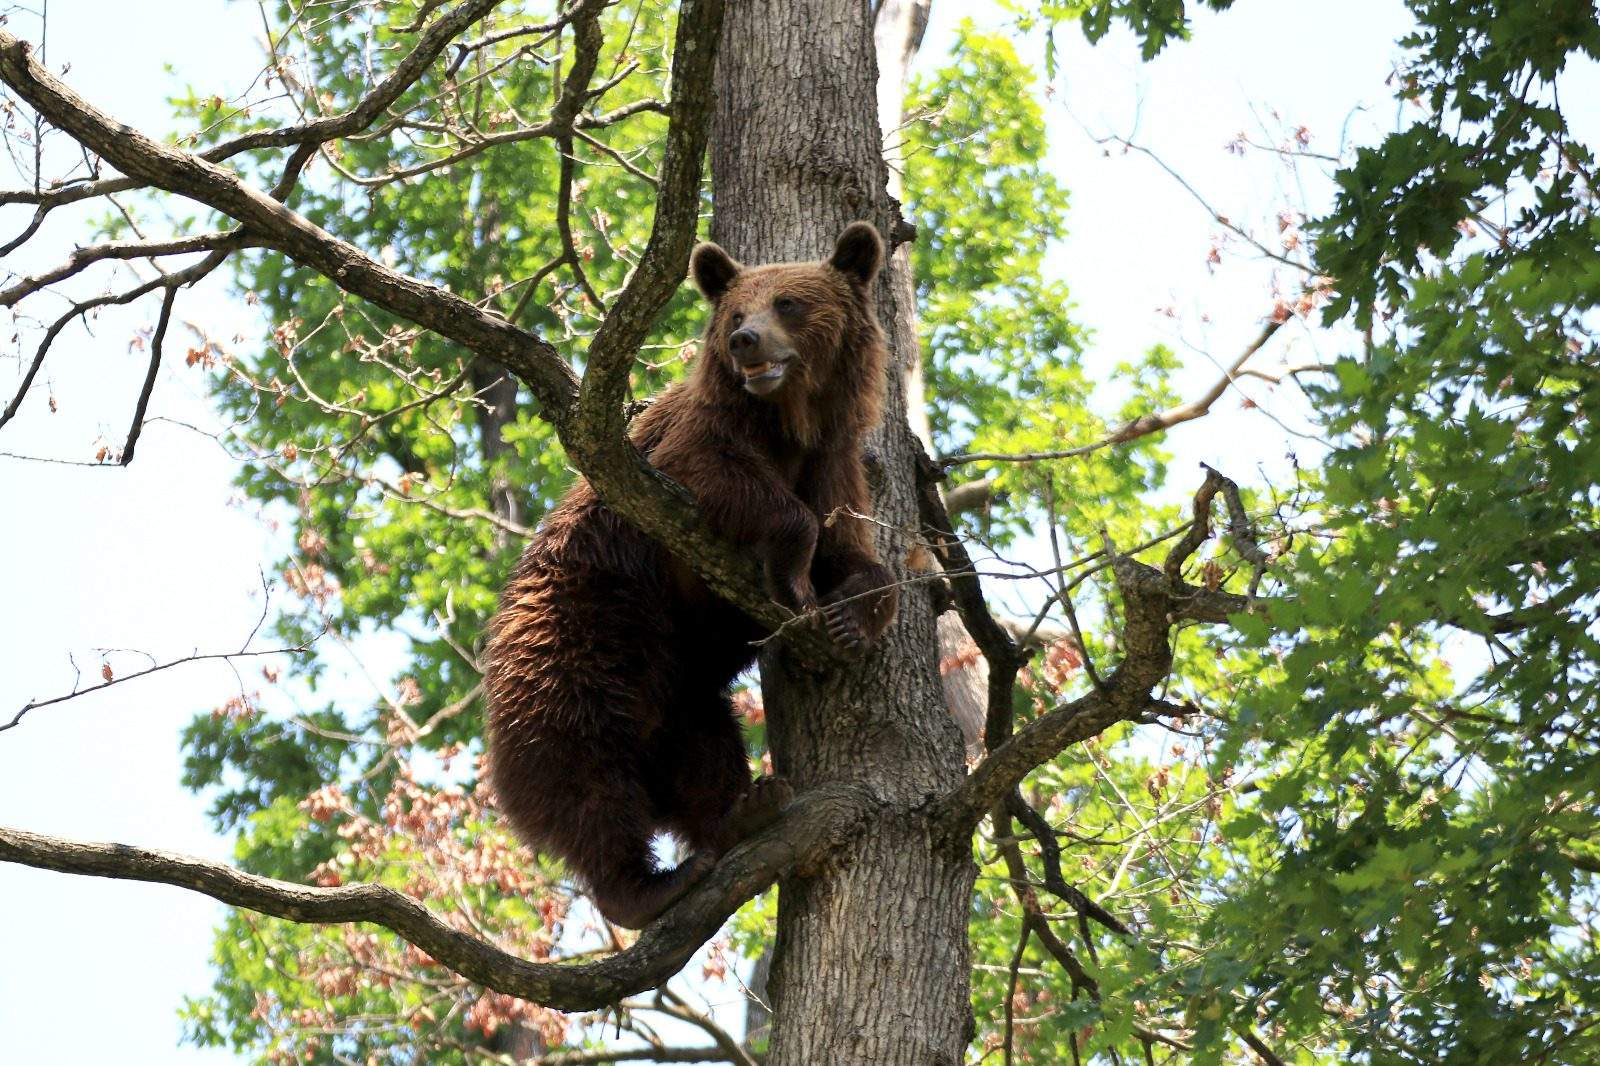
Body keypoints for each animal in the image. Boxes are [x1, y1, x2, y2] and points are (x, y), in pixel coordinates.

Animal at [480, 219, 902, 928]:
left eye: (789, 302)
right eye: (735, 311)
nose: (744, 339)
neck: (790, 422)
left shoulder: (835, 464)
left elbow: (857, 554)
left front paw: (850, 616)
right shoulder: (688, 449)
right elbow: (728, 481)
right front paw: (793, 580)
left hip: (675, 682)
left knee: (702, 744)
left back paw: (746, 807)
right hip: (584, 628)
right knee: (583, 765)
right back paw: (647, 885)